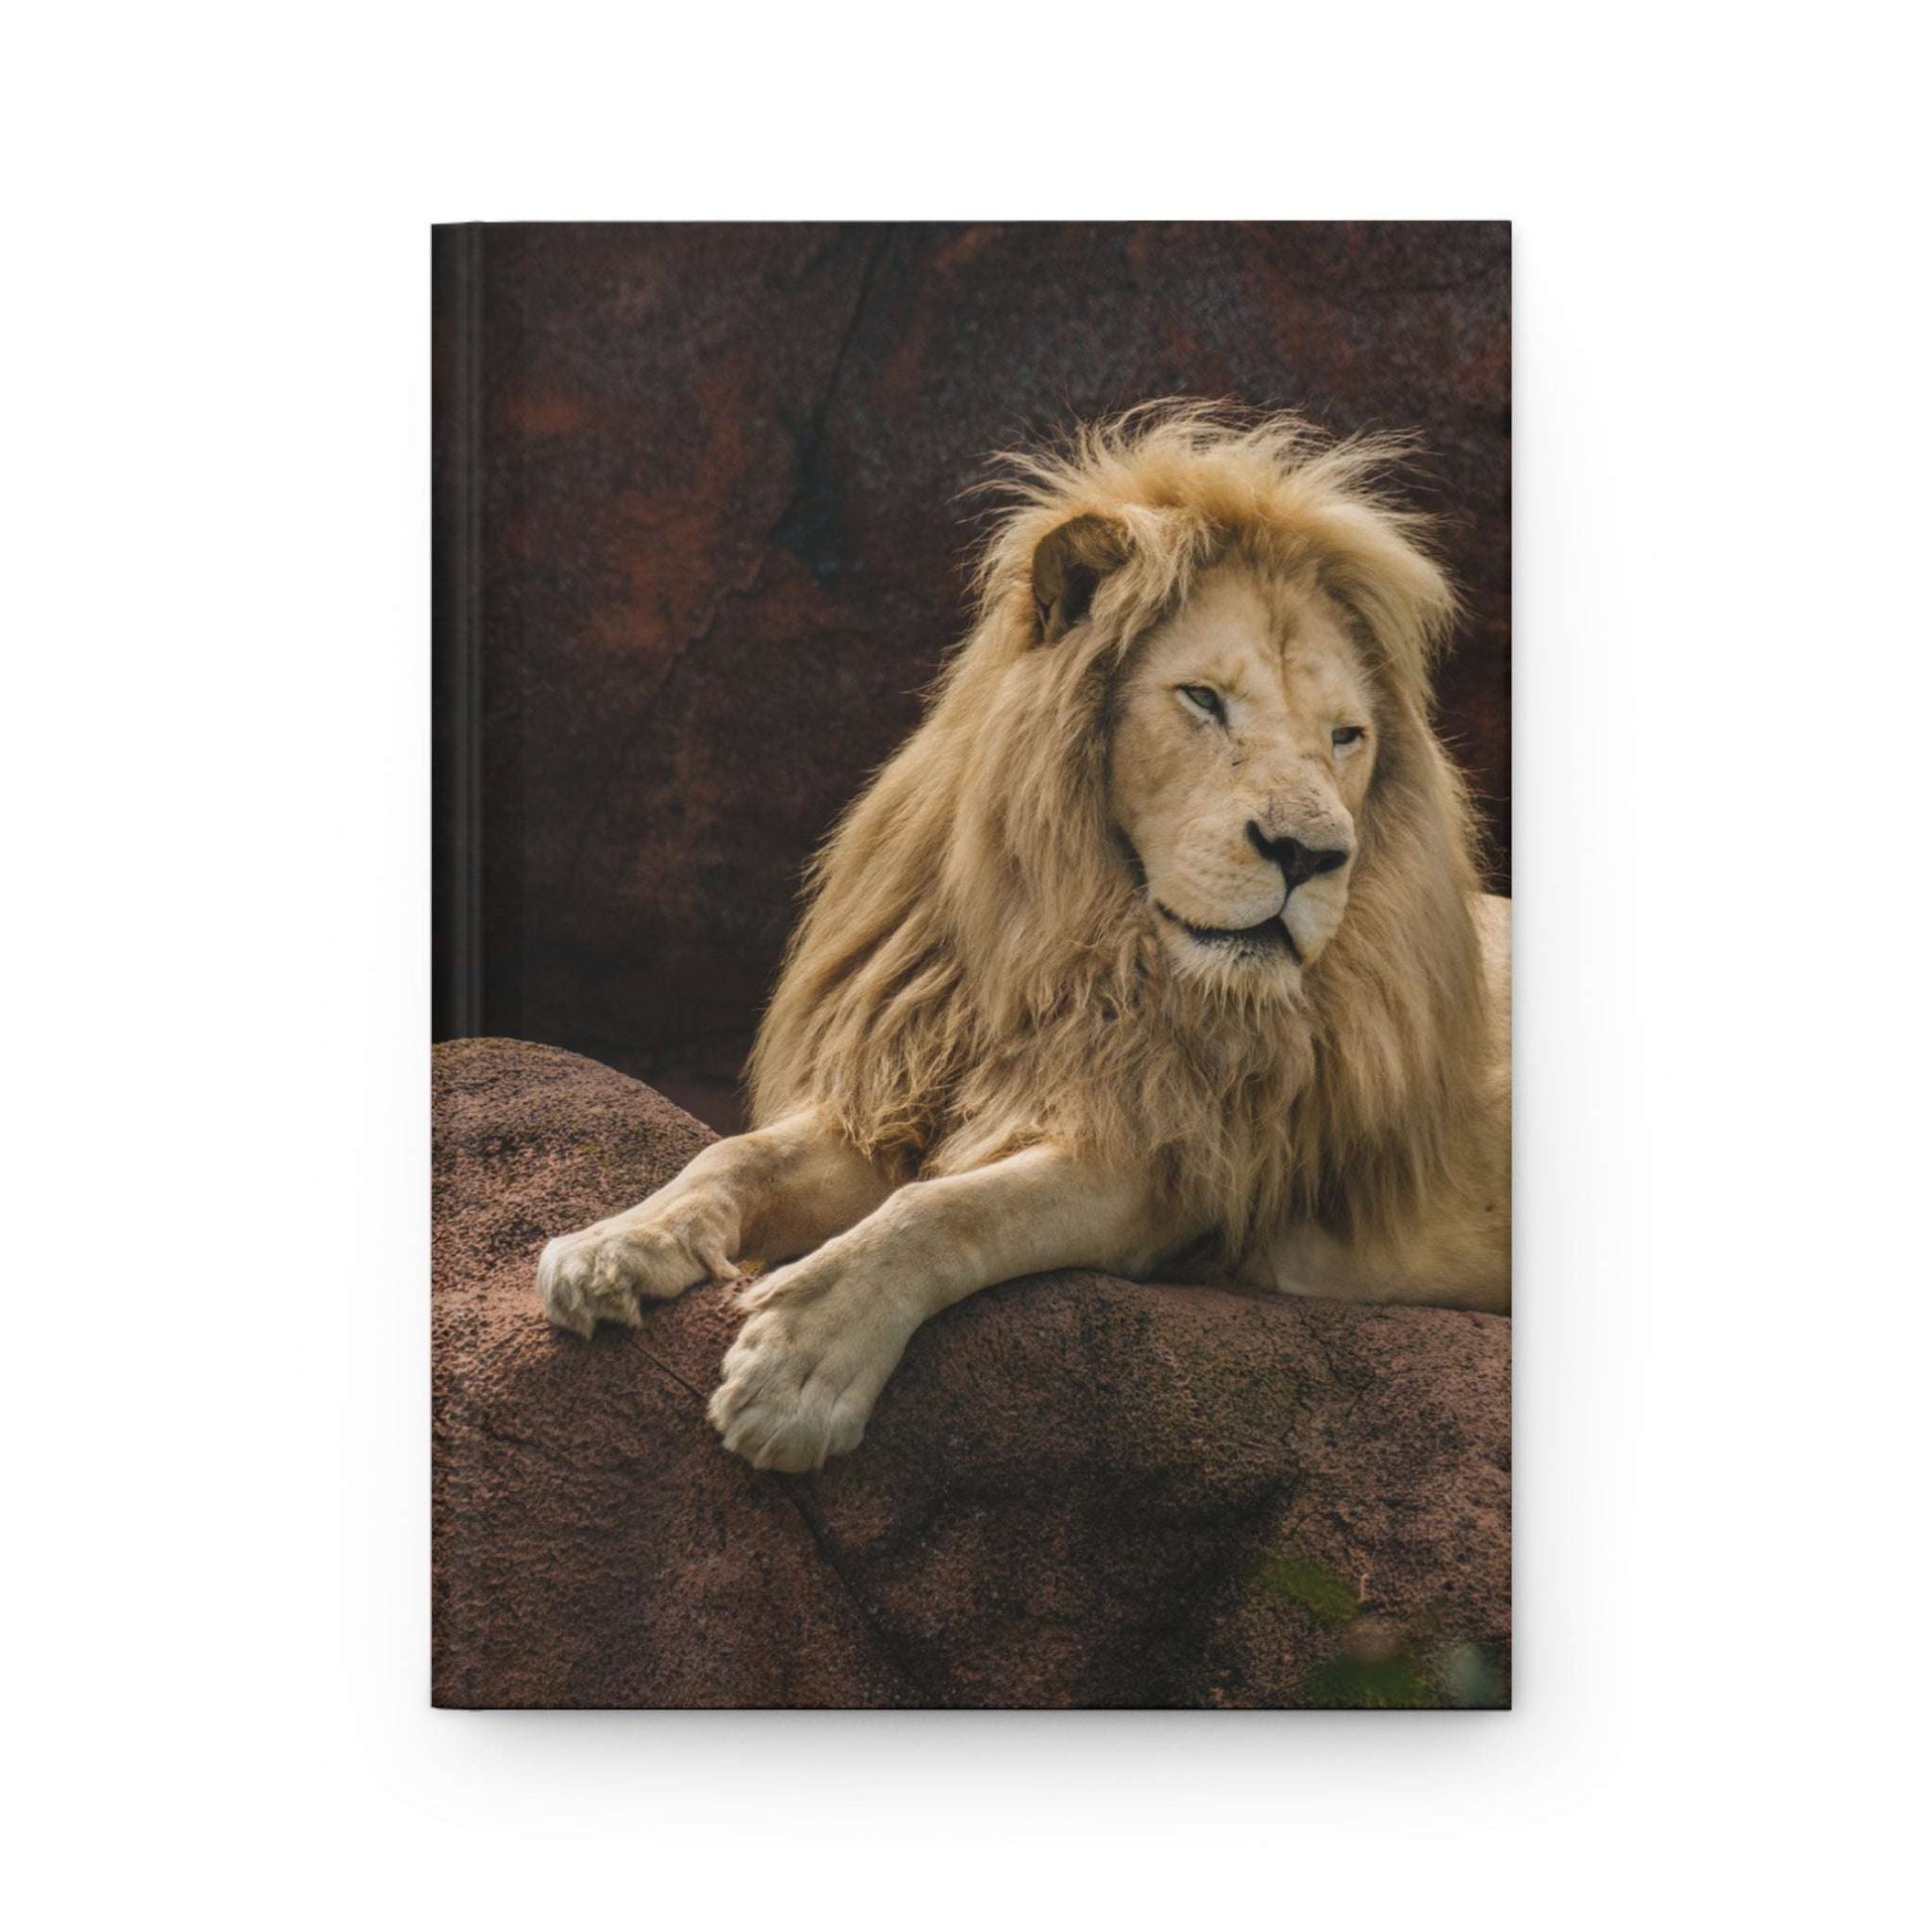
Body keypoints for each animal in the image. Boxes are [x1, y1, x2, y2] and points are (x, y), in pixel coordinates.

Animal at [537, 403, 1511, 1472]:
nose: (1310, 854)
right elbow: (737, 1158)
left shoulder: (1167, 1161)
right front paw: (612, 1246)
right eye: (1203, 699)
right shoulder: (908, 1084)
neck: (1070, 942)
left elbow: (949, 1208)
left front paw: (799, 1366)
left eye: (1346, 736)